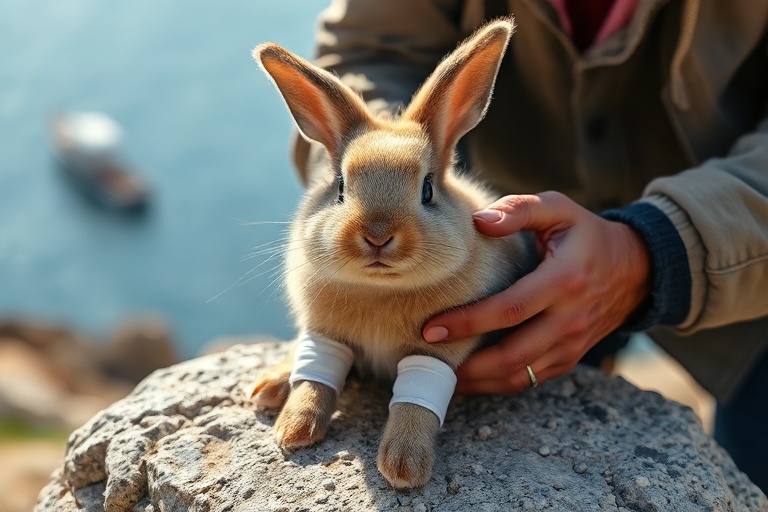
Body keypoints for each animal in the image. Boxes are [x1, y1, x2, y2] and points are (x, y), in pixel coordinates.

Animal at [249, 18, 533, 489]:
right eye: (340, 188)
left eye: (427, 189)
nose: (378, 235)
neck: (380, 289)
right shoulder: (325, 334)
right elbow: (314, 382)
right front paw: (294, 430)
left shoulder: (438, 350)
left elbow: (414, 403)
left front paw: (403, 466)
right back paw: (269, 387)